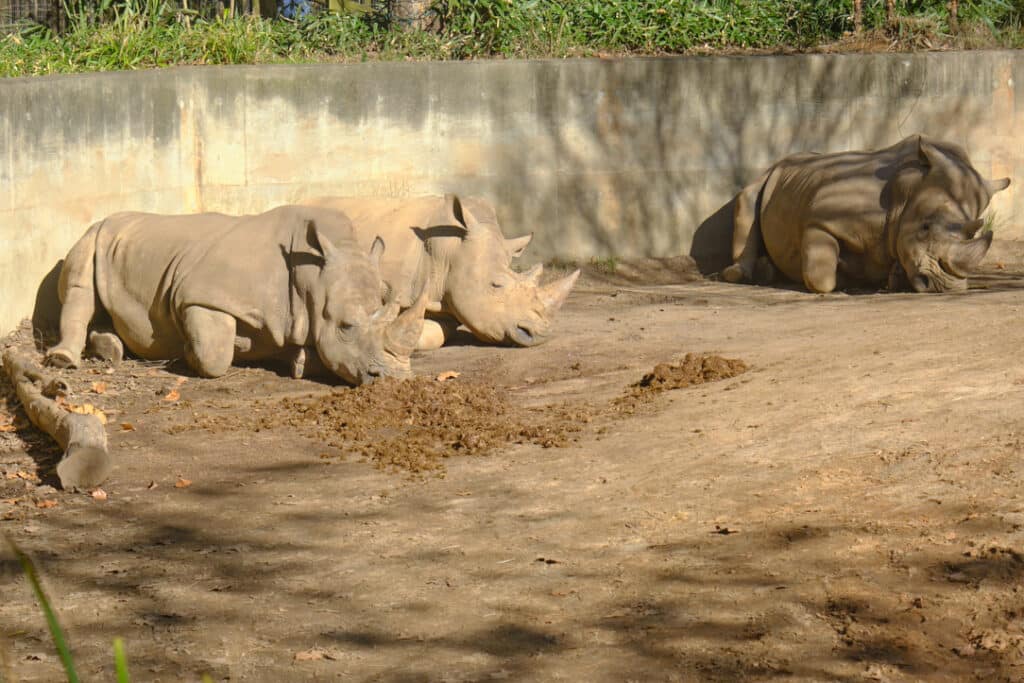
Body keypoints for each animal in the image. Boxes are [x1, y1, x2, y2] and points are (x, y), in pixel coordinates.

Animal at [44, 205, 428, 384]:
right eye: (346, 327)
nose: (395, 379)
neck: (310, 278)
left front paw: (297, 360)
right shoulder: (198, 296)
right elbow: (214, 353)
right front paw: (189, 352)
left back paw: (110, 348)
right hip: (92, 235)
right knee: (80, 289)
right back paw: (63, 360)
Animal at [722, 135, 1010, 293]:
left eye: (973, 232)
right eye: (925, 228)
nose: (945, 287)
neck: (905, 194)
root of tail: (781, 161)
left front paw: (893, 277)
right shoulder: (820, 222)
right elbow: (821, 277)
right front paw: (844, 276)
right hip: (767, 176)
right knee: (746, 199)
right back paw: (744, 275)